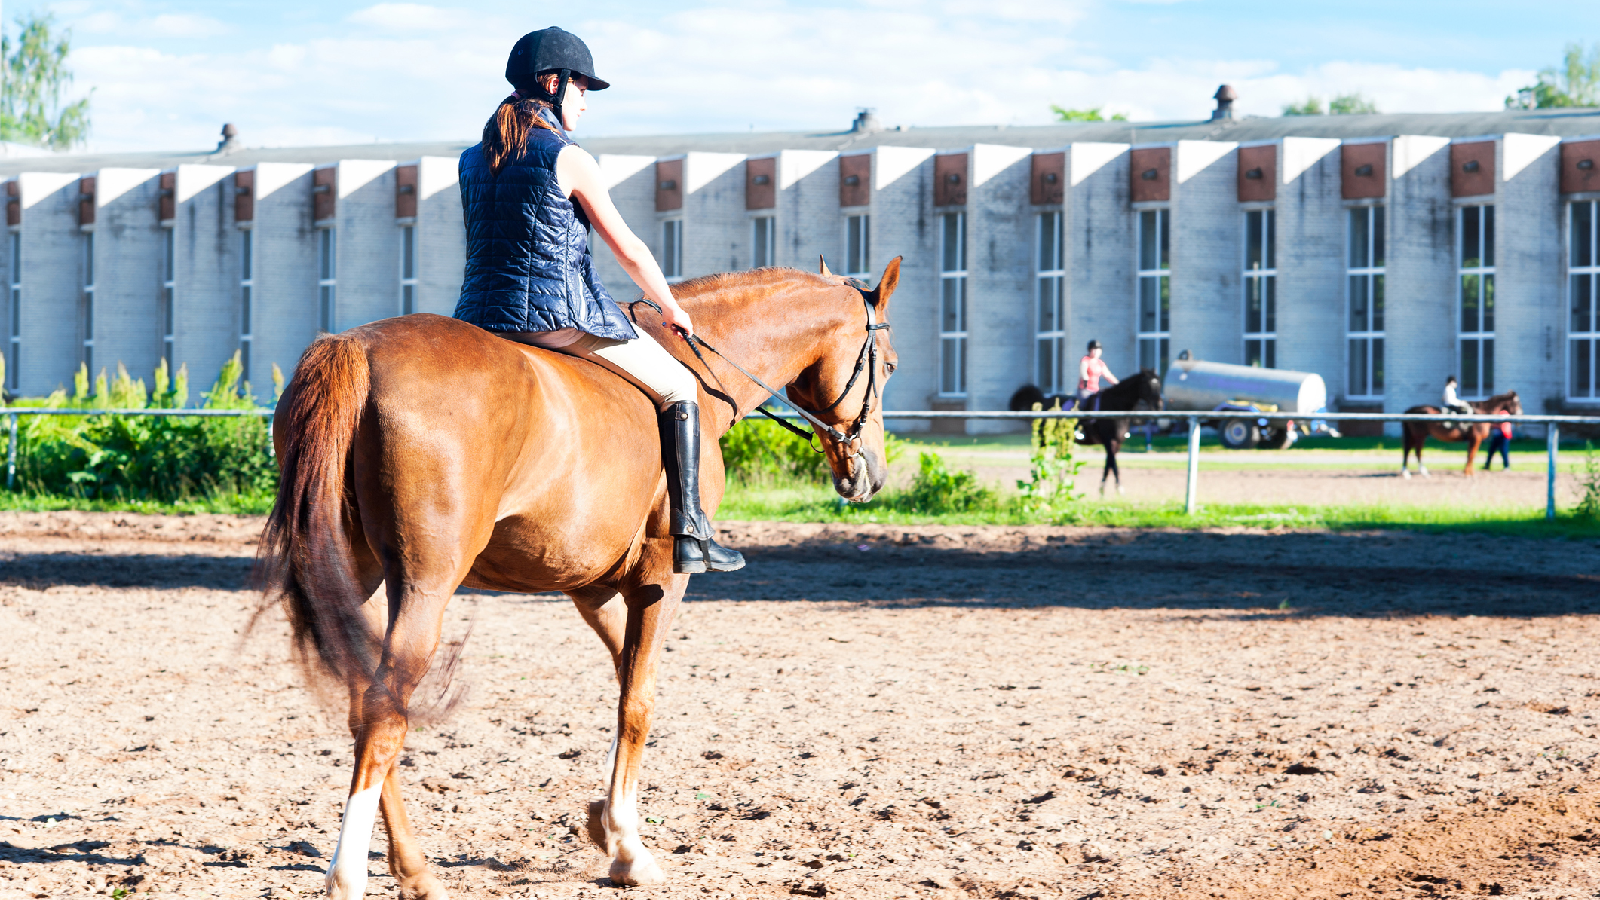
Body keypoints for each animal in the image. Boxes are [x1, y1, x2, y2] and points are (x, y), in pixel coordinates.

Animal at [257, 259, 901, 899]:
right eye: (890, 364)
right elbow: (638, 702)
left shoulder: (590, 587)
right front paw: (628, 849)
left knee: (362, 701)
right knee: (383, 712)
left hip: (360, 581)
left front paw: (608, 827)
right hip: (425, 586)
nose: (871, 473)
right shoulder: (662, 578)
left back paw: (414, 870)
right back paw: (349, 875)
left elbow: (628, 681)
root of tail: (357, 350)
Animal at [1008, 369, 1163, 496]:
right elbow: (1113, 464)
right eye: (1149, 384)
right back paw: (1040, 487)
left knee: (1058, 459)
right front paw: (1119, 490)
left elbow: (1108, 465)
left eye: (1159, 383)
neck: (1115, 405)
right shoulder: (1109, 441)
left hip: (1061, 439)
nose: (1159, 405)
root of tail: (1044, 400)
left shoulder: (1116, 443)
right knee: (1039, 458)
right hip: (1044, 439)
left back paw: (1060, 485)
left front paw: (1102, 491)